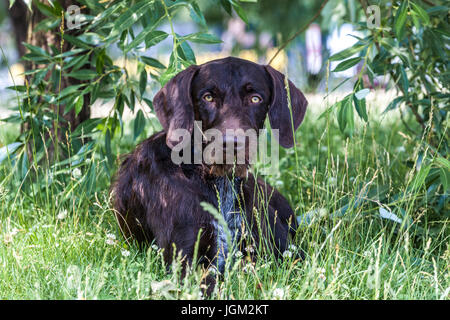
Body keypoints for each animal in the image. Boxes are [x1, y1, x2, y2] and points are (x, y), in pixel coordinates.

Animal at [112, 57, 310, 292]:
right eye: (208, 97)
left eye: (255, 98)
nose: (232, 143)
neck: (215, 181)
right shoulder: (186, 262)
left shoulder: (282, 252)